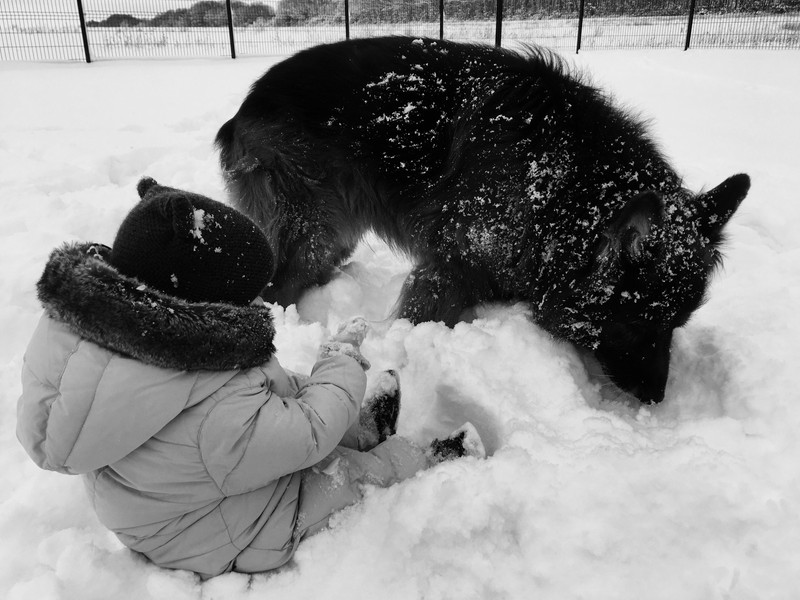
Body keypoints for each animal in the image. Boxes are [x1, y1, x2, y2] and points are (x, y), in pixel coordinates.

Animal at [214, 36, 752, 404]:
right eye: (643, 323)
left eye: (678, 325)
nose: (657, 399)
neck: (563, 187)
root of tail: (245, 106)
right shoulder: (450, 267)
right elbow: (421, 316)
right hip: (315, 230)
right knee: (278, 288)